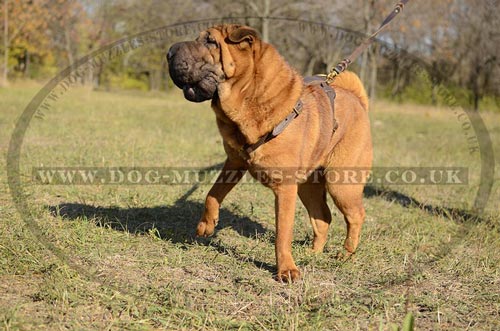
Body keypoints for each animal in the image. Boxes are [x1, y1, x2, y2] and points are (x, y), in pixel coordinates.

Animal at [168, 24, 372, 282]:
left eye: (211, 42)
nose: (169, 52)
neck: (250, 97)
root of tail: (358, 100)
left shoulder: (284, 189)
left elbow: (282, 234)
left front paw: (286, 270)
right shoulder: (234, 162)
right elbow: (212, 194)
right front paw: (207, 225)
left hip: (341, 184)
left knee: (356, 216)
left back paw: (345, 255)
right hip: (308, 186)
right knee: (323, 217)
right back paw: (313, 253)